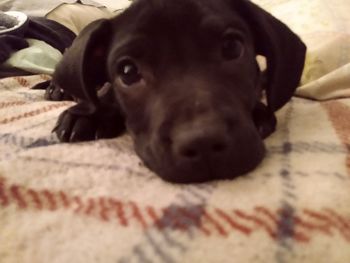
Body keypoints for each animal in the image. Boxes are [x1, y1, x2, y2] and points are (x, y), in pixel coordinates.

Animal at [47, 0, 306, 184]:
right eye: (128, 72)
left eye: (232, 47)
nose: (203, 143)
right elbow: (105, 94)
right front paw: (87, 115)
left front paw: (260, 113)